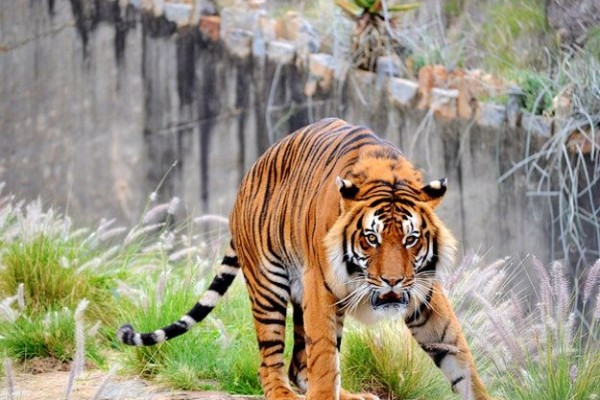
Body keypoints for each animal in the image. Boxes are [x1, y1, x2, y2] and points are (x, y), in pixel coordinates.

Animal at [116, 118, 488, 400]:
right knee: (270, 362)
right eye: (372, 238)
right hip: (269, 286)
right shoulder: (321, 288)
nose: (393, 281)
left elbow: (459, 354)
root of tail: (247, 177)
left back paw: (350, 396)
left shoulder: (424, 291)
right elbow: (324, 360)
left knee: (299, 365)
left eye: (411, 239)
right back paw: (285, 394)